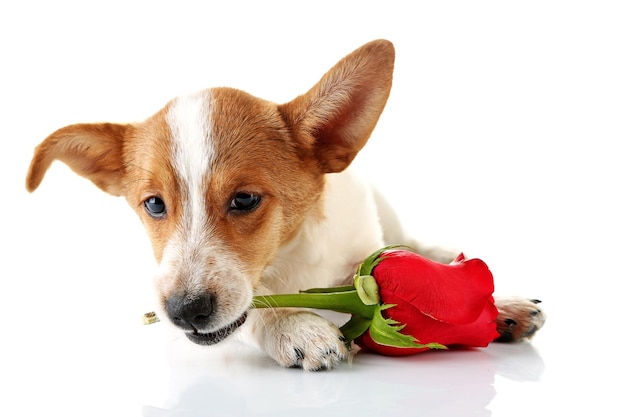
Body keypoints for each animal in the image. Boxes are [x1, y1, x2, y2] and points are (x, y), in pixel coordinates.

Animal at [24, 39, 540, 370]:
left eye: (245, 199)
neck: (292, 259)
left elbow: (400, 270)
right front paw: (294, 325)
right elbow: (257, 307)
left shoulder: (364, 255)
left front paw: (494, 302)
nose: (183, 311)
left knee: (412, 242)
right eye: (153, 205)